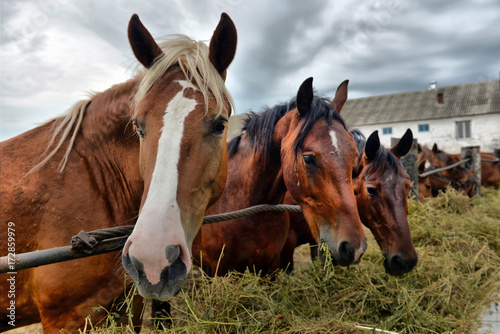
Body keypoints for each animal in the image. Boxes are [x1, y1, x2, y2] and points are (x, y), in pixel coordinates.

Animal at [0, 12, 238, 332]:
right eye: (137, 125)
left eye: (220, 124)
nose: (154, 261)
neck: (95, 177)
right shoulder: (66, 318)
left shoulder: (129, 303)